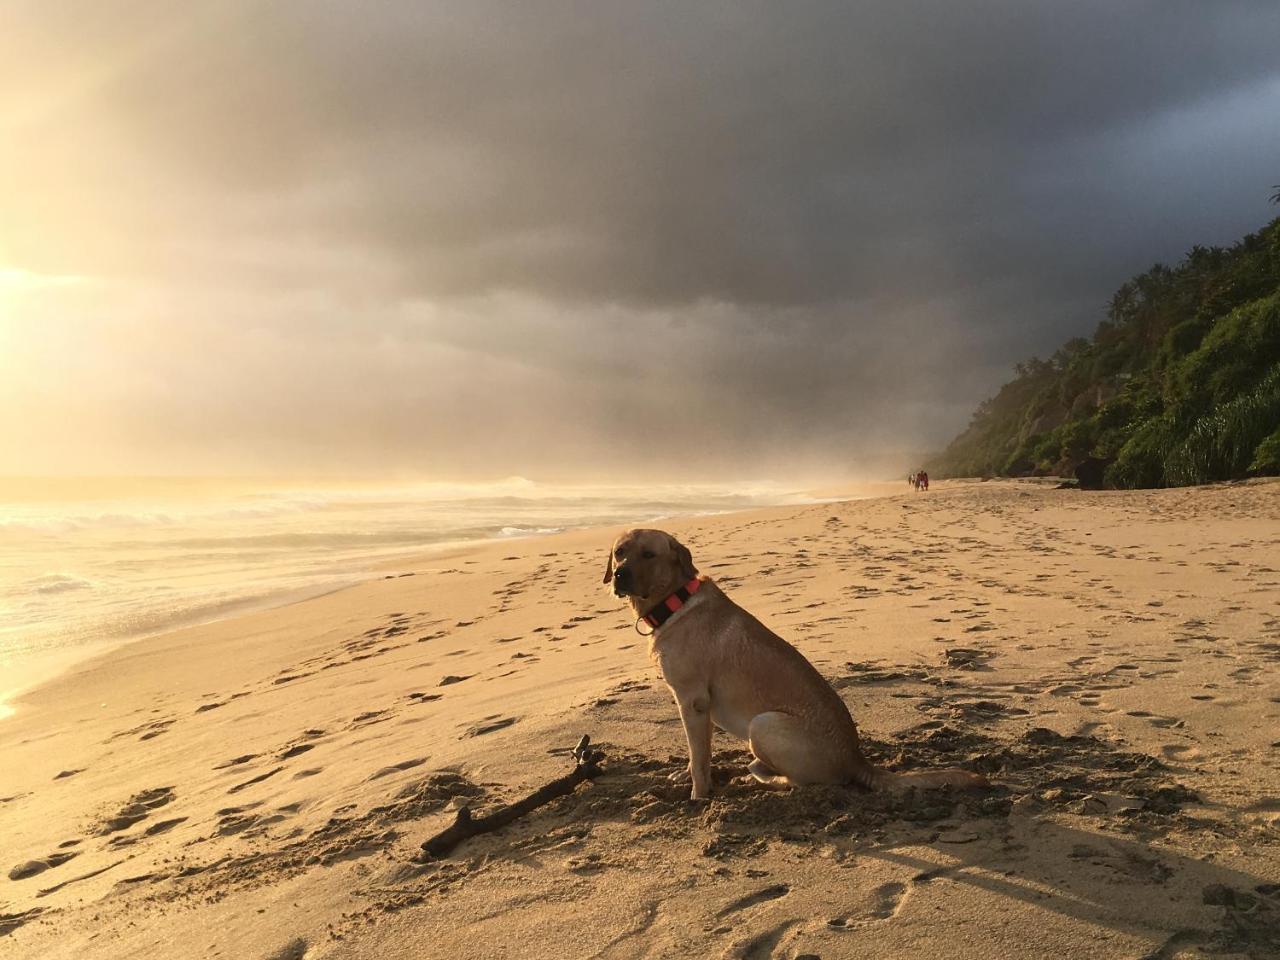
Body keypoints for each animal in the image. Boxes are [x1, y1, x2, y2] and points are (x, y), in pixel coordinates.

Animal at [601, 529, 988, 798]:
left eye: (649, 554)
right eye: (619, 552)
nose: (620, 574)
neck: (675, 600)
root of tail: (857, 760)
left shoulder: (692, 700)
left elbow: (699, 759)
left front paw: (698, 796)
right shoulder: (699, 708)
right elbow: (698, 753)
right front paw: (687, 776)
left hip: (764, 724)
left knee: (802, 783)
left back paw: (763, 777)